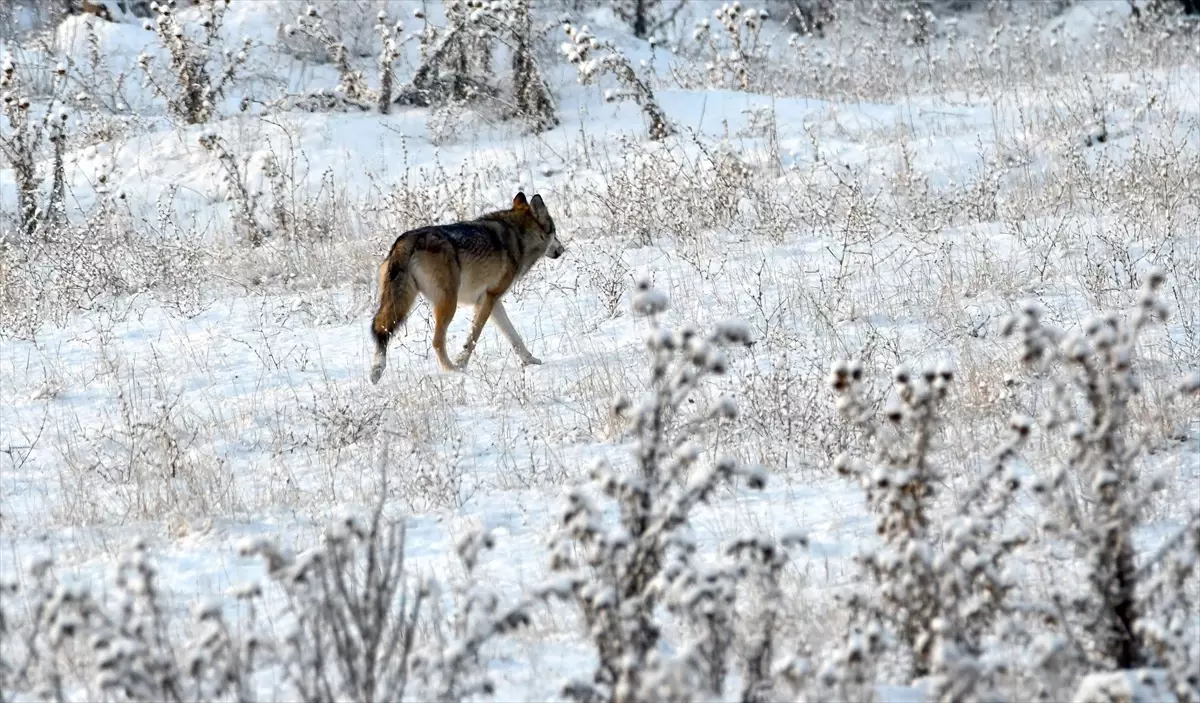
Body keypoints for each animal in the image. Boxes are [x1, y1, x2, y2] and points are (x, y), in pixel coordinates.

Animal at [367, 188, 564, 381]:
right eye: (555, 232)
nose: (562, 249)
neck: (518, 236)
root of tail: (405, 241)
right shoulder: (488, 300)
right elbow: (474, 336)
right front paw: (461, 362)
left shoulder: (493, 301)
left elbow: (513, 336)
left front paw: (530, 360)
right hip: (448, 304)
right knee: (436, 342)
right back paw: (452, 370)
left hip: (402, 302)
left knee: (380, 328)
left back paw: (376, 370)